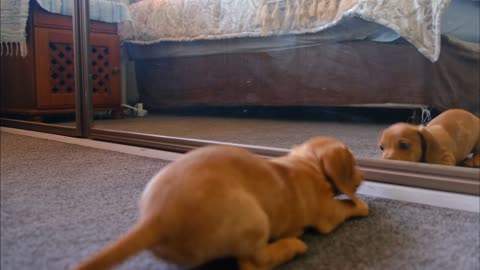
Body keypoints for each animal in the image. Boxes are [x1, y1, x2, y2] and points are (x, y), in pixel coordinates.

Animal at [73, 137, 370, 270]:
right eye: (354, 164)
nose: (364, 176)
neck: (308, 165)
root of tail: (156, 217)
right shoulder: (327, 215)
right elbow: (345, 206)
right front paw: (361, 206)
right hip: (254, 219)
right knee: (252, 262)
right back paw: (292, 246)